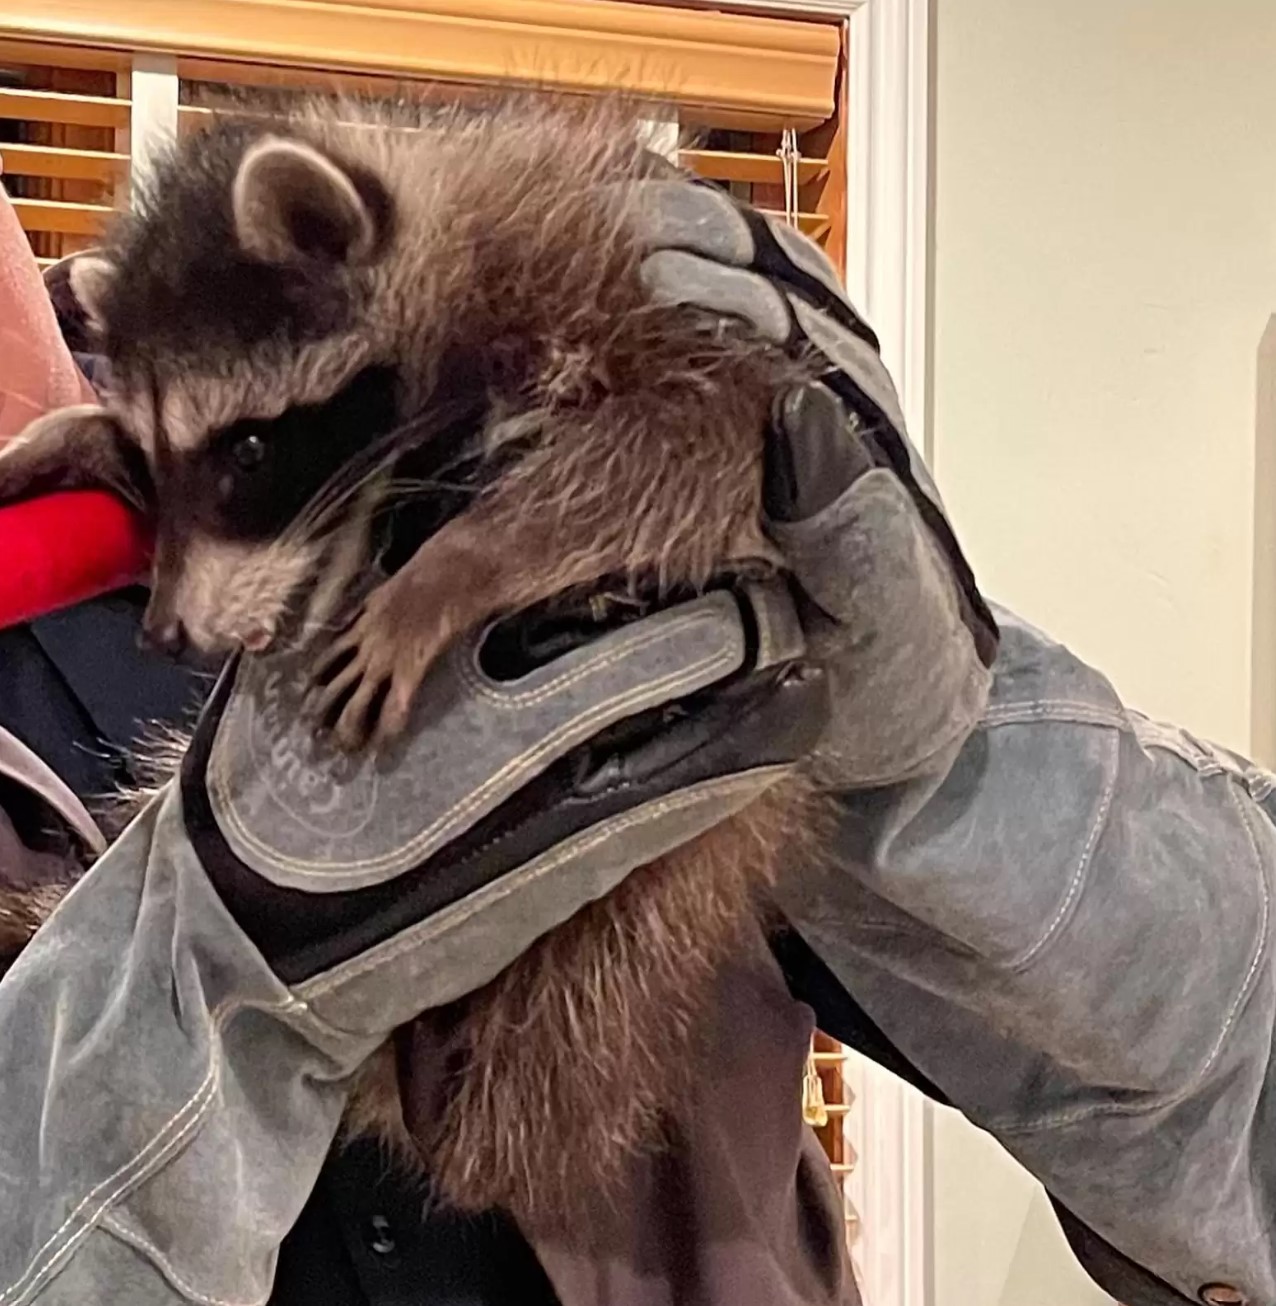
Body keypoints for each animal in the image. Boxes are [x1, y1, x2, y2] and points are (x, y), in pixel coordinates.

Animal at [0, 94, 814, 1232]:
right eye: (160, 457)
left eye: (249, 452)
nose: (168, 635)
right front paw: (72, 437)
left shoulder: (632, 307)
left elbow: (671, 458)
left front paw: (449, 574)